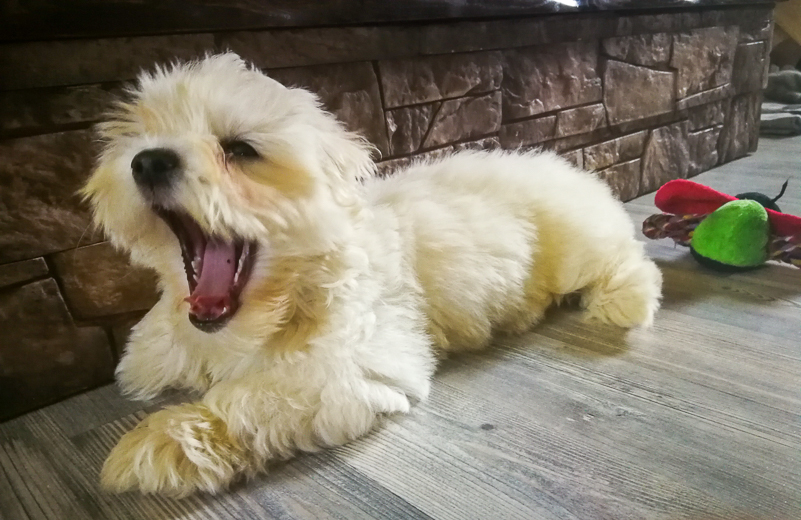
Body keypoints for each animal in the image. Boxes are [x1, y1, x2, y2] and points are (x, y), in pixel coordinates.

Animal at [83, 52, 664, 496]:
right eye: (140, 138)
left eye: (240, 150)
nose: (148, 161)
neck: (286, 295)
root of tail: (570, 167)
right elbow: (157, 346)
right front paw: (148, 361)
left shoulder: (349, 367)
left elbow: (251, 397)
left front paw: (158, 441)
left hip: (578, 244)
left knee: (626, 261)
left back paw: (625, 300)